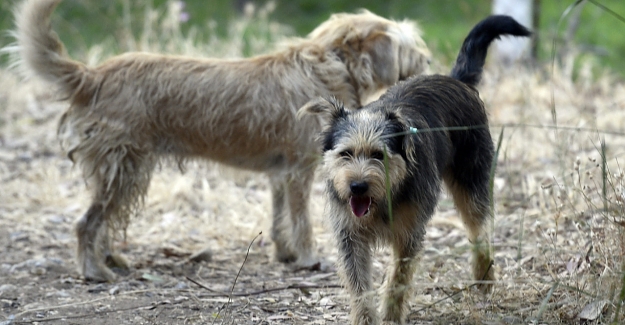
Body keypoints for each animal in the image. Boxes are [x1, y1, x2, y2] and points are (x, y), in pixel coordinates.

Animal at [11, 0, 428, 280]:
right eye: (410, 47)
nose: (427, 61)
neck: (328, 63)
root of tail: (93, 75)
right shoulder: (299, 171)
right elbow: (301, 219)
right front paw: (308, 257)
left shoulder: (279, 174)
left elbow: (279, 219)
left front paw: (284, 254)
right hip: (124, 169)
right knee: (86, 223)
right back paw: (94, 271)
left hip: (125, 174)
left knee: (105, 222)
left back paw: (111, 258)